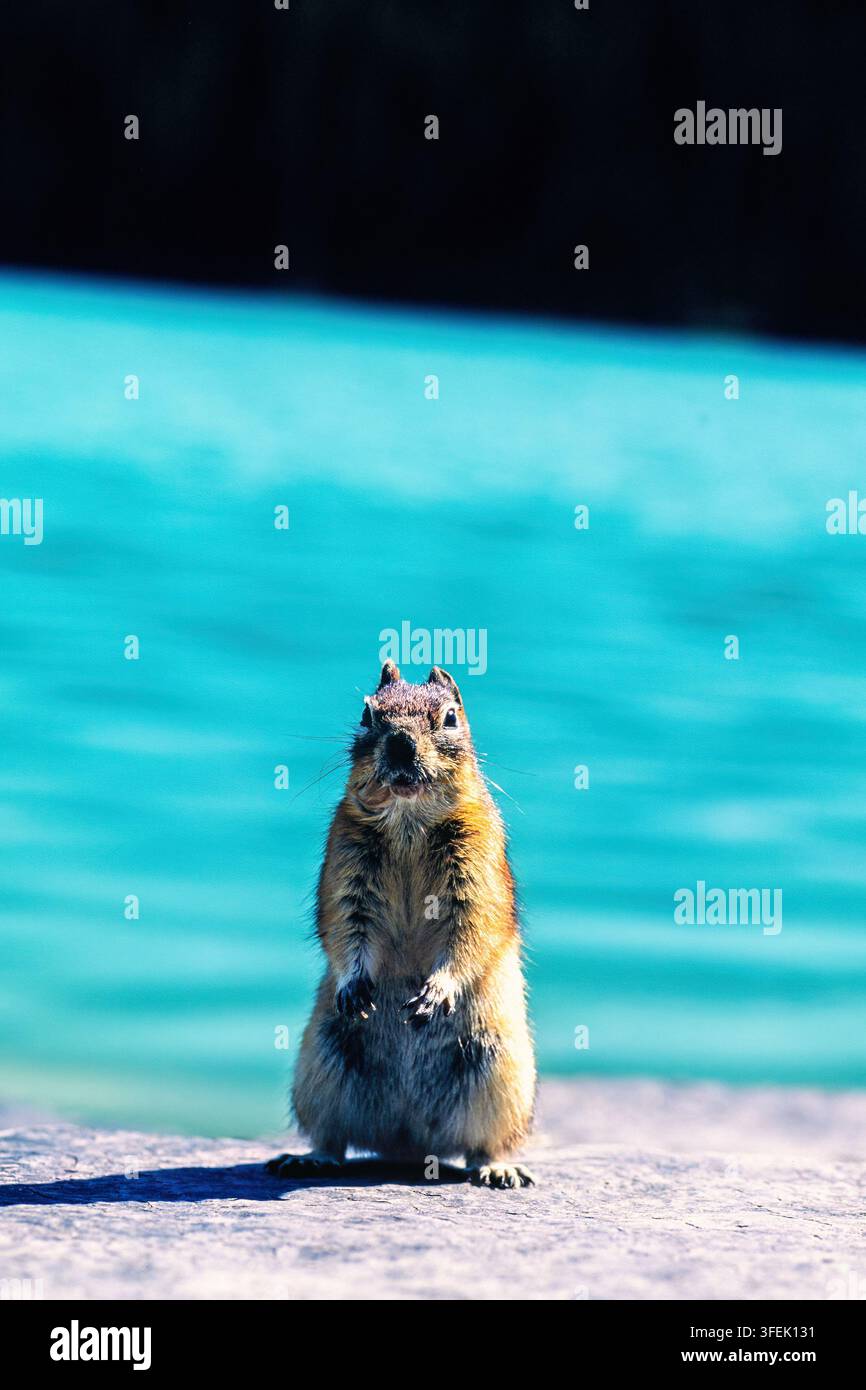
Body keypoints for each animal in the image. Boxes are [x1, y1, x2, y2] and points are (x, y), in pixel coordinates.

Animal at [268, 659, 537, 1188]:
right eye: (367, 713)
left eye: (451, 716)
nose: (401, 744)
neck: (409, 819)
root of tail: (410, 1145)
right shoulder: (346, 863)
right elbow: (346, 925)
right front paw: (354, 987)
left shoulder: (475, 868)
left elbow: (471, 930)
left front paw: (435, 993)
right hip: (319, 1070)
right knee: (332, 1137)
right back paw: (309, 1158)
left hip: (500, 1075)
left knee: (484, 1145)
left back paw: (498, 1170)